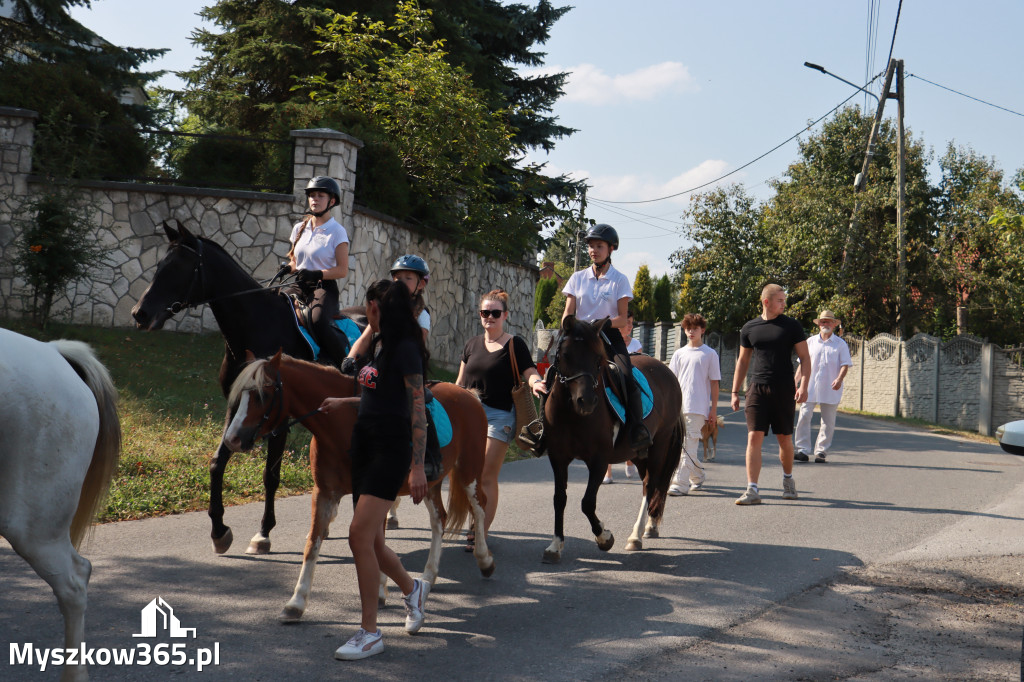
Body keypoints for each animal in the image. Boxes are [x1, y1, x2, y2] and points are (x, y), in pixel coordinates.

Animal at [130, 220, 364, 557]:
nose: (140, 314)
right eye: (160, 264)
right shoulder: (237, 408)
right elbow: (217, 462)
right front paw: (219, 531)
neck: (257, 324)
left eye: (178, 268)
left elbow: (270, 475)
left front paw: (263, 533)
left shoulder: (279, 416)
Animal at [222, 350, 493, 622]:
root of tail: (468, 395)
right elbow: (313, 544)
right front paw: (296, 602)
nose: (232, 439)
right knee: (439, 519)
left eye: (263, 394)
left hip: (469, 470)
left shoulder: (374, 492)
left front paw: (380, 591)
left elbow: (374, 541)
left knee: (480, 508)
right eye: (240, 394)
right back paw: (428, 576)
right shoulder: (324, 493)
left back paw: (484, 560)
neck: (344, 425)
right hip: (430, 484)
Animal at [540, 315, 684, 561]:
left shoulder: (599, 460)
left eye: (598, 359)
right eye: (566, 354)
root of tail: (666, 371)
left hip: (660, 444)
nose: (587, 401)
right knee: (649, 483)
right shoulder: (558, 458)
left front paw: (604, 537)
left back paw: (636, 536)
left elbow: (587, 503)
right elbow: (559, 499)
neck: (571, 415)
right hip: (638, 453)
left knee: (651, 484)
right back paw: (650, 526)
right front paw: (555, 545)